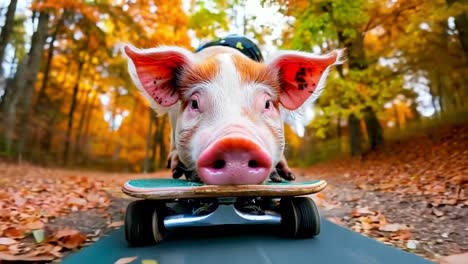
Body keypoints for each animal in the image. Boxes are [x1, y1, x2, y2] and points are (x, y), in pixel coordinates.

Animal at [123, 43, 344, 185]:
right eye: (194, 103)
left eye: (267, 104)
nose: (235, 142)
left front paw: (283, 177)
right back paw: (176, 170)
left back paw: (287, 177)